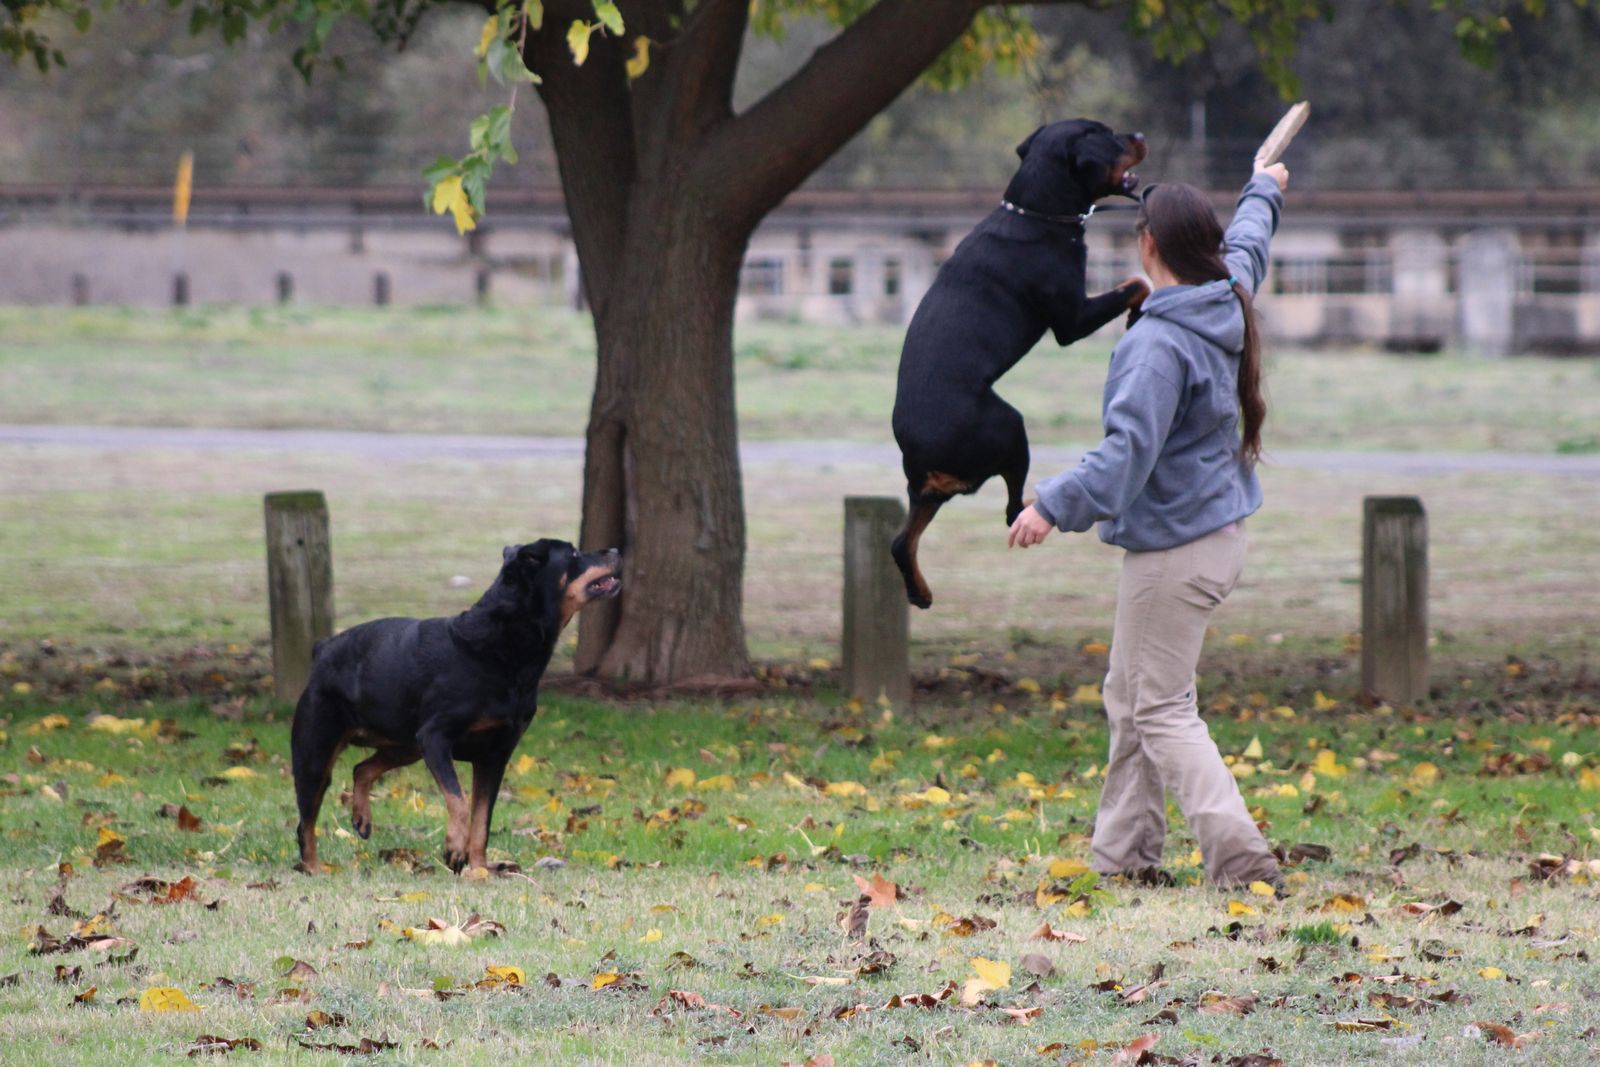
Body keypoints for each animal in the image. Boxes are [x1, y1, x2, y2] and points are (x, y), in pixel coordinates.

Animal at [290, 540, 621, 874]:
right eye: (574, 554)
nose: (616, 551)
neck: (501, 646)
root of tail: (323, 649)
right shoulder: (436, 738)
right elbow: (459, 801)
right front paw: (454, 849)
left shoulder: (494, 756)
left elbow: (482, 820)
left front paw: (480, 869)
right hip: (317, 751)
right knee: (306, 821)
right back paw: (314, 867)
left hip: (407, 745)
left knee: (362, 769)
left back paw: (361, 817)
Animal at [890, 119, 1150, 608]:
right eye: (1107, 135)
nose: (1141, 135)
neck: (1037, 213)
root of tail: (921, 457)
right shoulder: (1072, 319)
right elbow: (1135, 281)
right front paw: (1135, 312)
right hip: (1010, 427)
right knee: (1011, 511)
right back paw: (1039, 508)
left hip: (929, 493)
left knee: (901, 541)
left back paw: (920, 593)